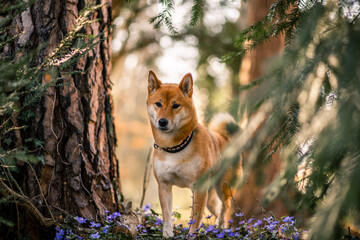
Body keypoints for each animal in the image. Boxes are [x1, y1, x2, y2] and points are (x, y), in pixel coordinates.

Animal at [146, 70, 242, 237]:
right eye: (158, 104)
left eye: (175, 105)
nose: (162, 122)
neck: (174, 147)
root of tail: (226, 138)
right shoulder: (164, 186)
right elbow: (167, 216)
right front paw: (168, 235)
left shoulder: (199, 187)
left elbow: (195, 219)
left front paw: (191, 235)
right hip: (210, 197)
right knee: (217, 210)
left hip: (223, 187)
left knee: (226, 208)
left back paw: (221, 229)